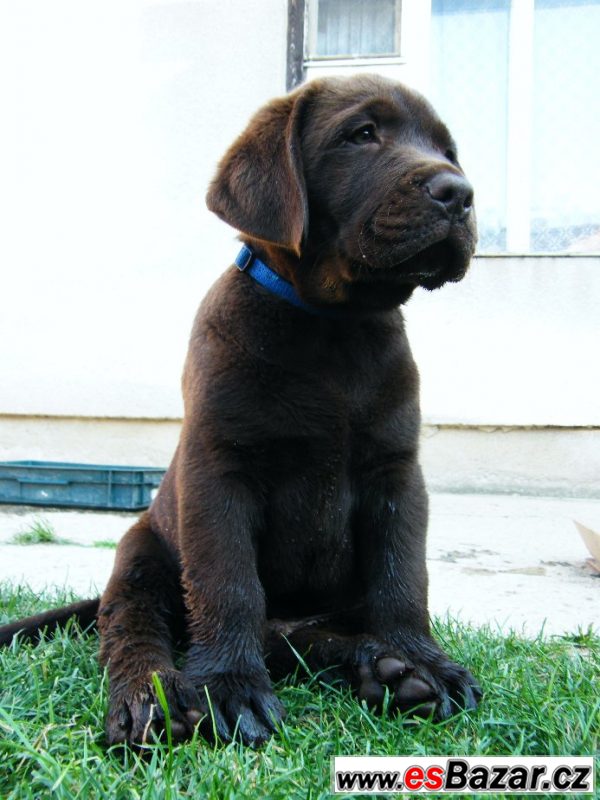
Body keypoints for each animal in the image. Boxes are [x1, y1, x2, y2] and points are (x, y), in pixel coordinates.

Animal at [0, 75, 478, 744]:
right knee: (137, 629)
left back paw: (384, 670)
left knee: (296, 636)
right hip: (141, 554)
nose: (459, 193)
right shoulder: (220, 473)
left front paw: (420, 660)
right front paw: (229, 685)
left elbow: (402, 576)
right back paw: (150, 701)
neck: (333, 327)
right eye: (362, 134)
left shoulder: (396, 476)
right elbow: (229, 585)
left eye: (448, 151)